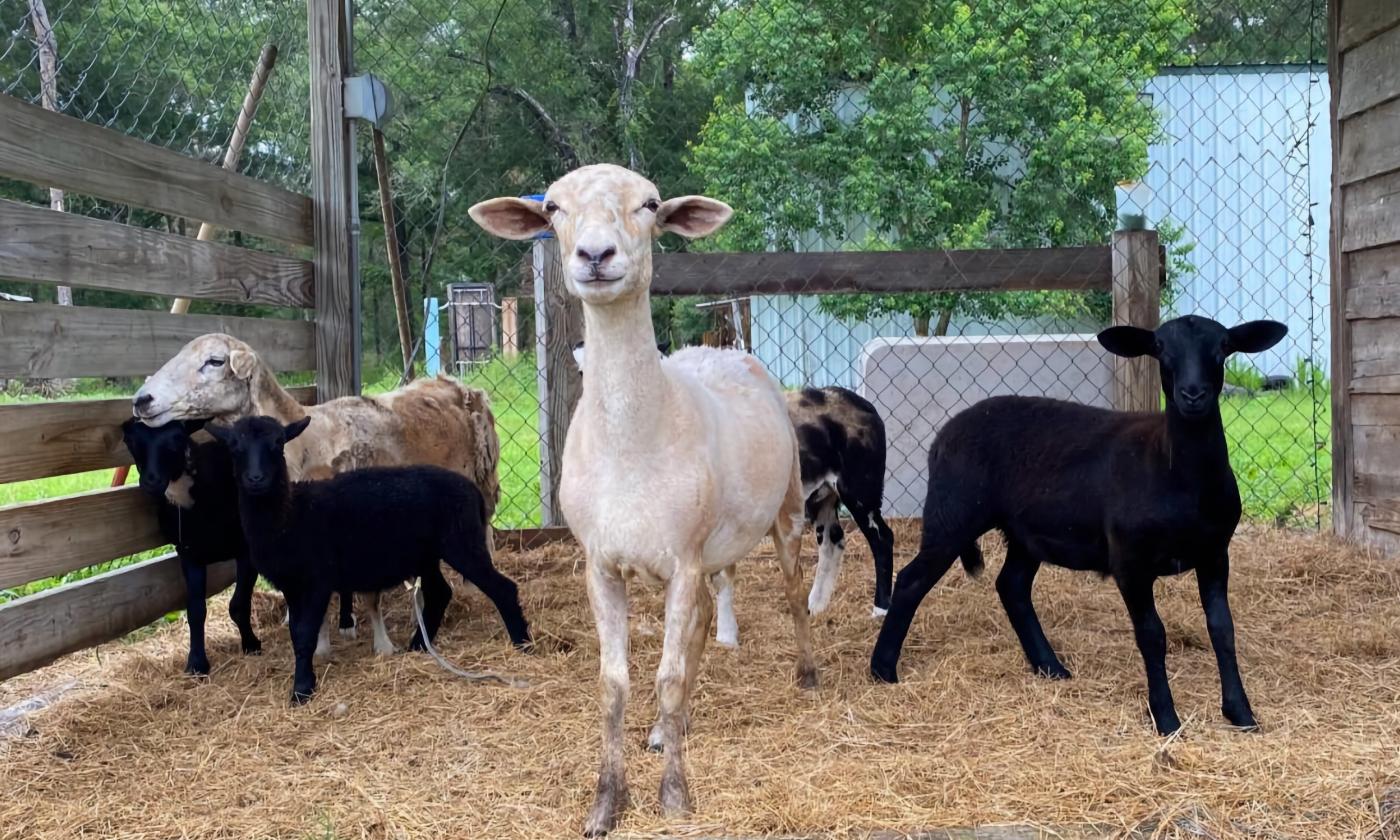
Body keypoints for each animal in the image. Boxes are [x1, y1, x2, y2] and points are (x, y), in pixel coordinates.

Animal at [120, 418, 260, 675]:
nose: (152, 481)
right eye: (130, 440)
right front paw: (196, 663)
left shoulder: (247, 551)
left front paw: (251, 644)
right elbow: (196, 611)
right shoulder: (189, 554)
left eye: (178, 438)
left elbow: (239, 604)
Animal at [209, 416, 531, 704]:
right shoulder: (291, 584)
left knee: (502, 588)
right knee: (440, 593)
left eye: (278, 444)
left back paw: (522, 644)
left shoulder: (316, 580)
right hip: (426, 554)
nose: (256, 479)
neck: (290, 515)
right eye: (234, 447)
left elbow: (304, 634)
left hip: (462, 543)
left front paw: (302, 689)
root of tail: (473, 491)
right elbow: (296, 632)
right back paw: (418, 645)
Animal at [471, 164, 816, 836]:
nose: (595, 255)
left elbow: (670, 675)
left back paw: (808, 674)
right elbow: (616, 684)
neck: (634, 443)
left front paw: (675, 797)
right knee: (705, 617)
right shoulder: (603, 563)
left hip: (784, 506)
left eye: (651, 204)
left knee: (792, 589)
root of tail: (720, 348)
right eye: (552, 208)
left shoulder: (682, 557)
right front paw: (607, 801)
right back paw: (663, 731)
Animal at [869, 315, 1286, 735]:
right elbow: (1152, 635)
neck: (1178, 474)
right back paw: (883, 669)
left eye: (1224, 347)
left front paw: (1241, 713)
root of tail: (943, 435)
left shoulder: (1215, 553)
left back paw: (1050, 666)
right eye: (1160, 349)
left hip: (1026, 532)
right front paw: (1166, 718)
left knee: (1012, 586)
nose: (1193, 395)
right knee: (912, 579)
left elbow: (1222, 629)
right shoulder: (1129, 561)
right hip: (954, 512)